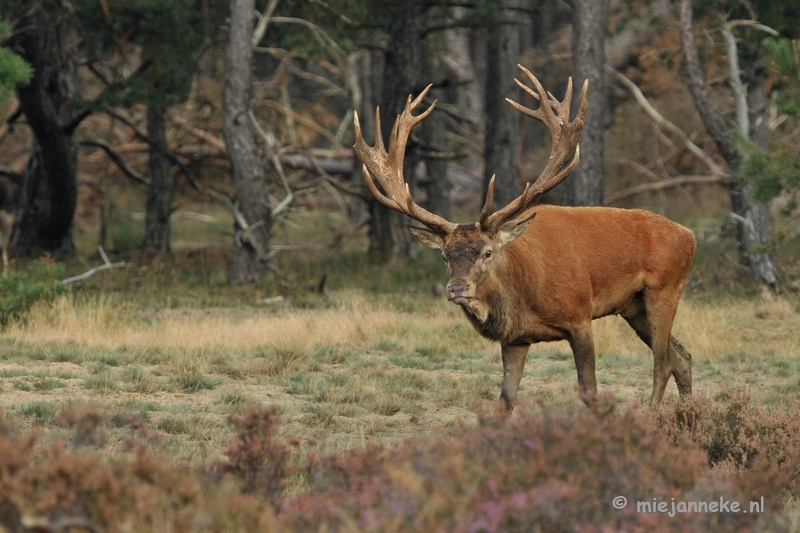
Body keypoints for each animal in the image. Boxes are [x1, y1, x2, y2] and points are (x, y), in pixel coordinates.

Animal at [354, 64, 696, 410]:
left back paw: (653, 413)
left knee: (663, 362)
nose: (457, 288)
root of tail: (690, 235)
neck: (526, 294)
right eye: (444, 255)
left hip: (664, 290)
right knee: (682, 357)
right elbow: (505, 399)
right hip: (633, 306)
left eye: (487, 252)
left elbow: (589, 390)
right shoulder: (515, 338)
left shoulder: (580, 316)